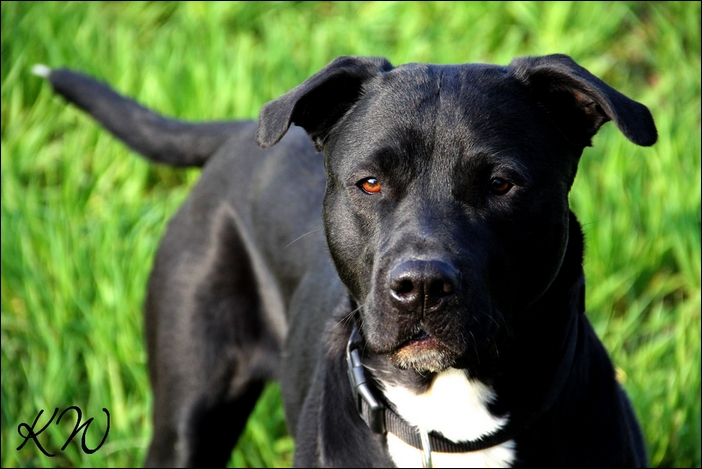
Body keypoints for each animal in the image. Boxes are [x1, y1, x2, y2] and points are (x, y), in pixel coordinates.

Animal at [37, 53, 660, 466]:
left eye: (501, 184)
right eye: (370, 183)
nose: (422, 286)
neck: (447, 424)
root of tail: (239, 134)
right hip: (188, 415)